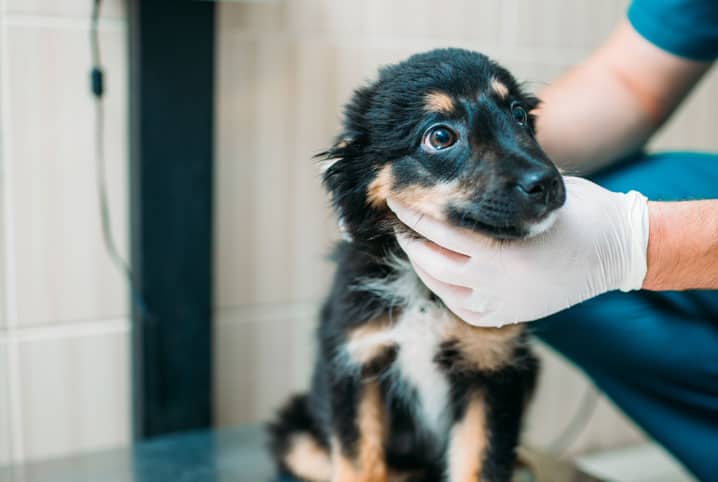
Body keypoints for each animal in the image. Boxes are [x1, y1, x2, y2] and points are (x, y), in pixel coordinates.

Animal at [270, 49, 568, 482]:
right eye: (440, 137)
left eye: (519, 115)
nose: (548, 184)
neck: (423, 290)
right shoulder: (355, 364)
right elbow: (358, 464)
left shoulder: (492, 369)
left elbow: (480, 464)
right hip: (295, 433)